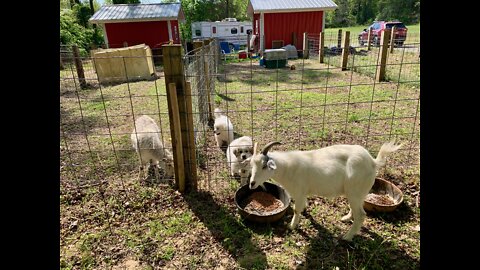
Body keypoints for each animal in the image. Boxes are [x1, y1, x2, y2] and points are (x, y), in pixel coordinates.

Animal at [248, 141, 402, 240]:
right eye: (252, 165)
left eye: (264, 166)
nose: (252, 184)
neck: (287, 168)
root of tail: (373, 162)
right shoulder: (303, 193)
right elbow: (303, 207)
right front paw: (305, 212)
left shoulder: (299, 192)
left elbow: (296, 210)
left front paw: (292, 226)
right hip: (357, 193)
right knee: (357, 208)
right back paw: (346, 218)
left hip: (355, 191)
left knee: (361, 215)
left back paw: (347, 237)